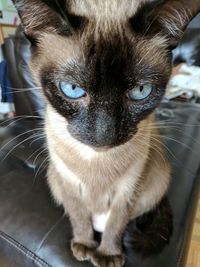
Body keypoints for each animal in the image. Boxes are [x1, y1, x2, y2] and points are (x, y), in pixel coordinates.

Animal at [14, 0, 200, 267]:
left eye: (140, 91)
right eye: (72, 89)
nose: (104, 135)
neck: (96, 162)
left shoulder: (128, 189)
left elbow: (116, 224)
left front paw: (108, 255)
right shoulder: (67, 183)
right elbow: (79, 217)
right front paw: (84, 245)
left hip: (159, 178)